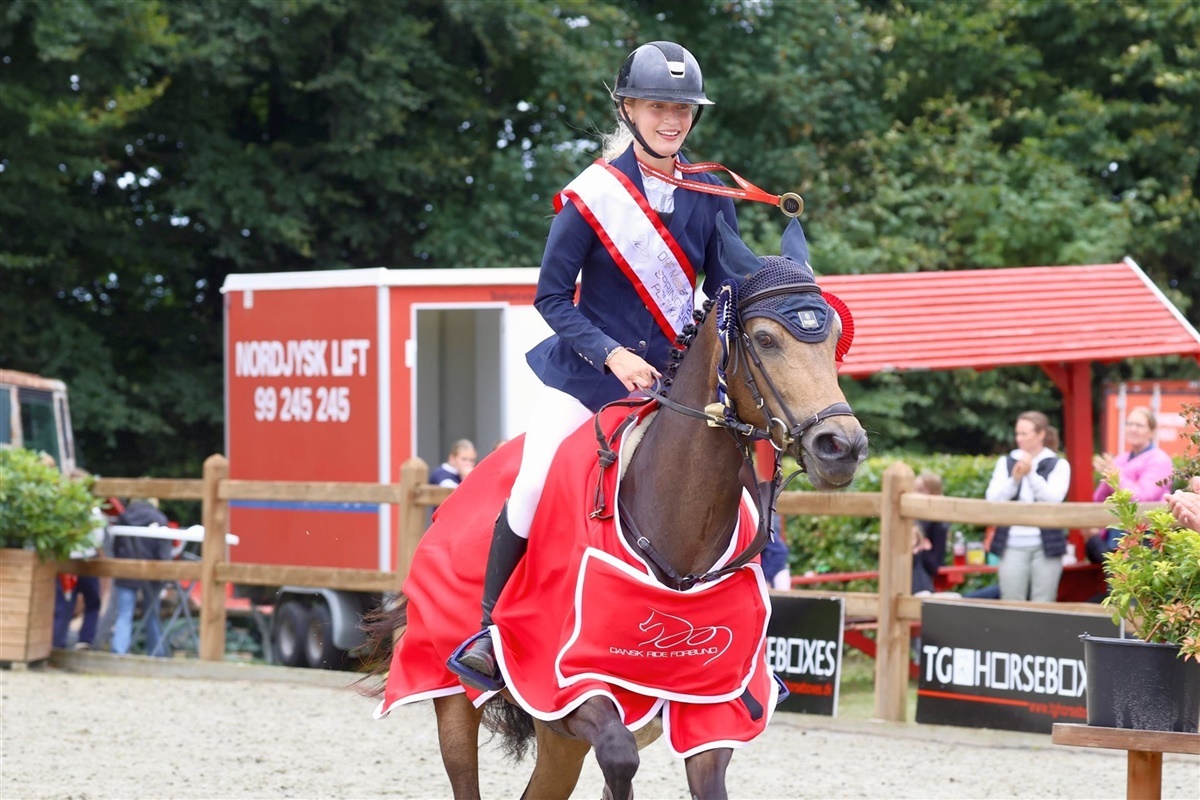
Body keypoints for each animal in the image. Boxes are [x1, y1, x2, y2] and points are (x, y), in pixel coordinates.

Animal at [360, 216, 867, 799]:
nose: (842, 447)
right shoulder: (569, 687)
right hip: (455, 701)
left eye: (833, 339)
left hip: (565, 740)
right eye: (765, 339)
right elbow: (619, 758)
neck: (679, 537)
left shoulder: (711, 706)